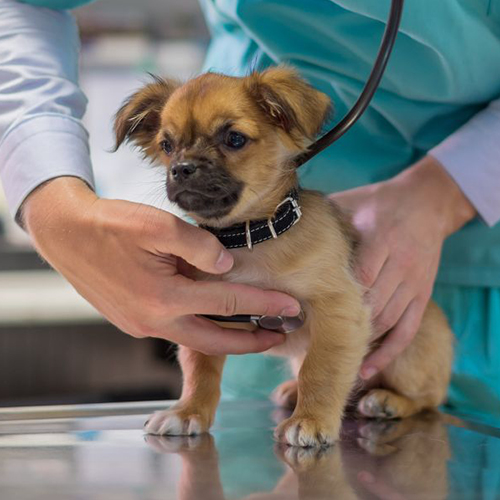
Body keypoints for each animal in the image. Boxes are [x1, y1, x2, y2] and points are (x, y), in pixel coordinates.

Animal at [115, 67, 456, 450]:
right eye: (167, 146)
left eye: (234, 139)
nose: (182, 168)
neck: (249, 239)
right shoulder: (206, 315)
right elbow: (200, 368)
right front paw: (188, 411)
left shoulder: (337, 311)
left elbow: (321, 370)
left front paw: (310, 420)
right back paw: (294, 392)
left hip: (409, 355)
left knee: (429, 399)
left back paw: (388, 401)